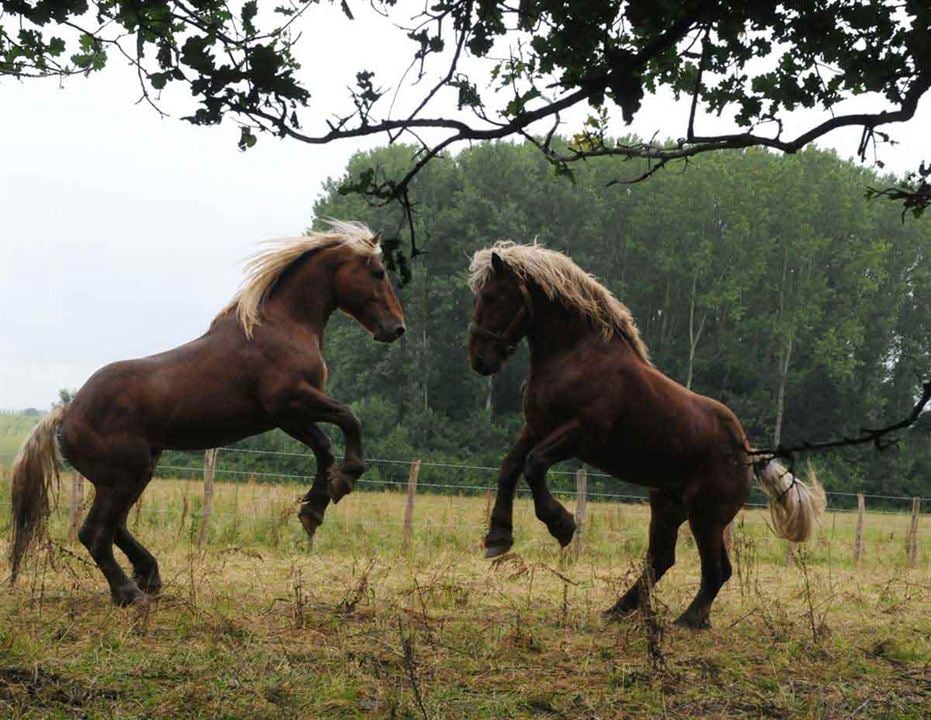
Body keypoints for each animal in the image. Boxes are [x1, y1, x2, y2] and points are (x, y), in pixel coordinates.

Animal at [10, 222, 404, 604]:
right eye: (378, 272)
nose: (397, 328)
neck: (282, 325)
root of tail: (67, 413)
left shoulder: (289, 415)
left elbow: (327, 444)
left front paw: (316, 505)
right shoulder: (289, 404)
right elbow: (345, 424)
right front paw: (336, 487)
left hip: (135, 473)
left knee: (116, 527)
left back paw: (149, 576)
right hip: (122, 476)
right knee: (95, 533)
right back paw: (130, 594)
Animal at [470, 242, 828, 624]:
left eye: (493, 296)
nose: (479, 360)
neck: (577, 356)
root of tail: (747, 453)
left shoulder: (581, 433)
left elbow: (534, 464)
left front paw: (561, 524)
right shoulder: (538, 426)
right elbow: (510, 467)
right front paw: (497, 537)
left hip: (706, 515)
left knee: (715, 569)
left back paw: (690, 619)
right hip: (668, 505)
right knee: (662, 559)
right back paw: (618, 610)